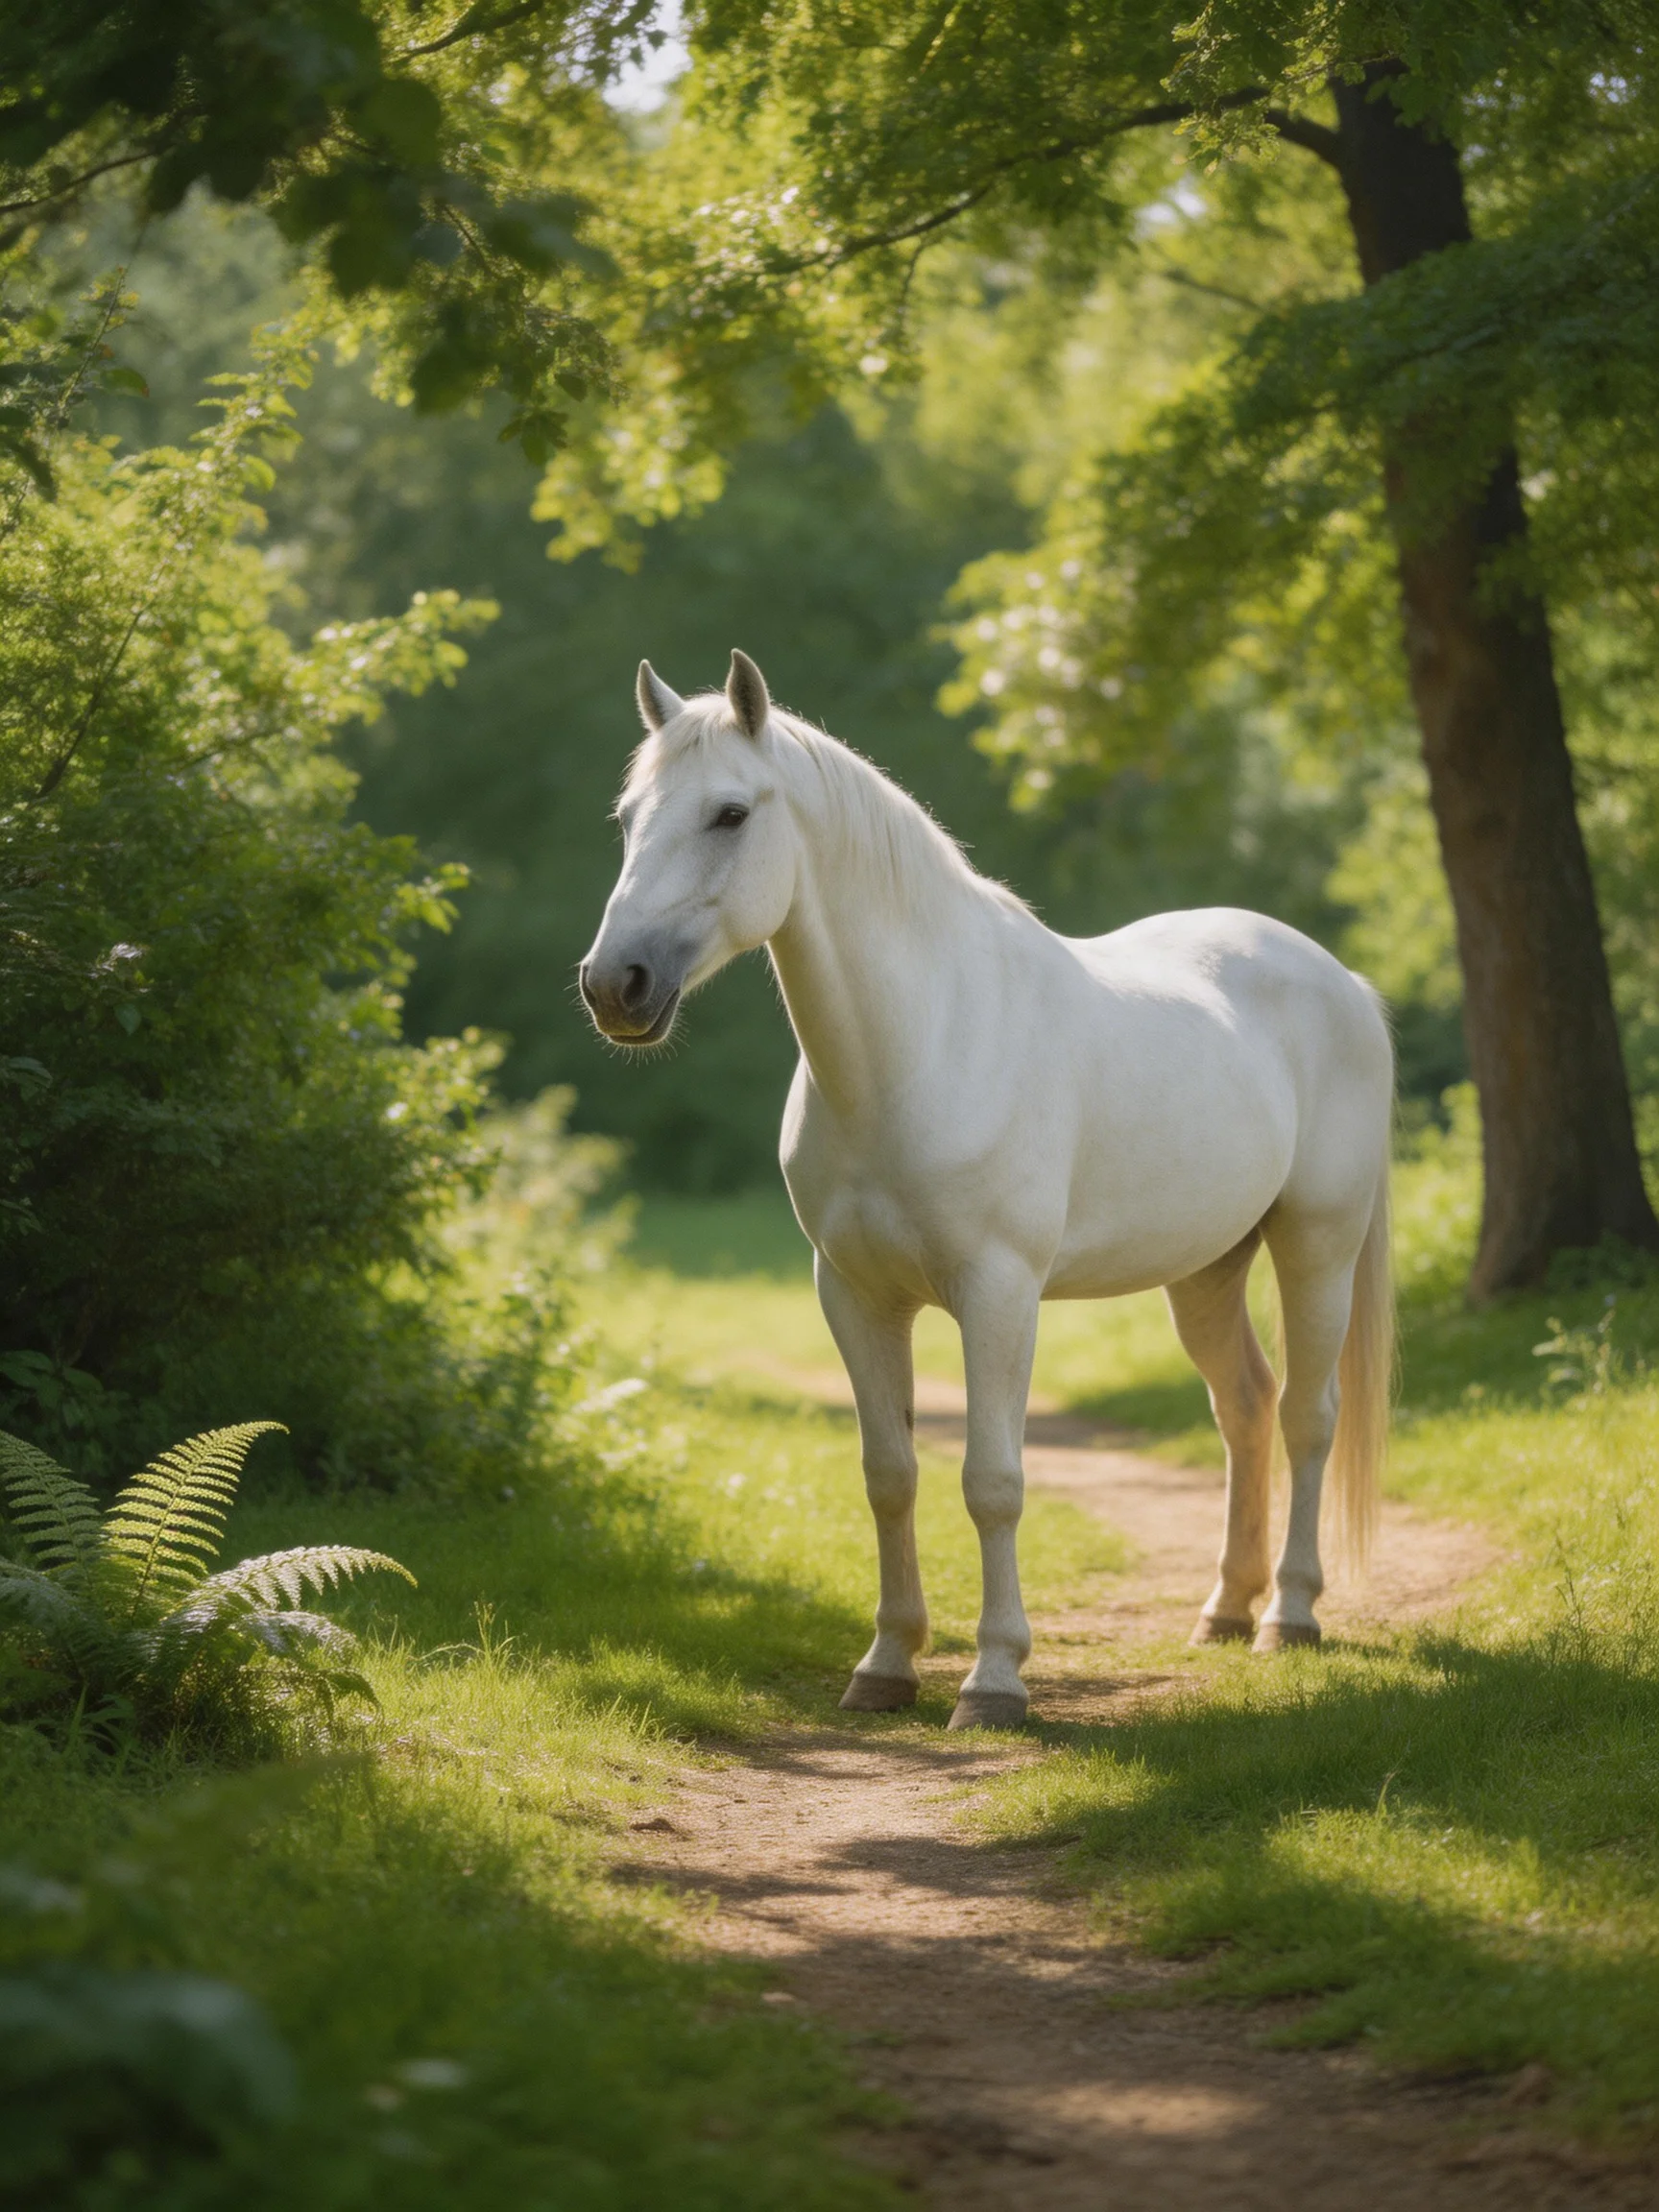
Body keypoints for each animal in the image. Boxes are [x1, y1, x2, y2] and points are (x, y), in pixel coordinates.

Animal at [580, 650, 1394, 1729]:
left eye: (730, 814)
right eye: (629, 816)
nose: (613, 985)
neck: (920, 1045)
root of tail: (1344, 982)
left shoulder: (999, 1293)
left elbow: (993, 1480)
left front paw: (994, 1679)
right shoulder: (852, 1295)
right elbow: (889, 1475)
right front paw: (885, 1665)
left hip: (1317, 1246)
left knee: (1308, 1414)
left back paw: (1289, 1616)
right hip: (1207, 1268)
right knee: (1246, 1408)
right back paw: (1225, 1608)